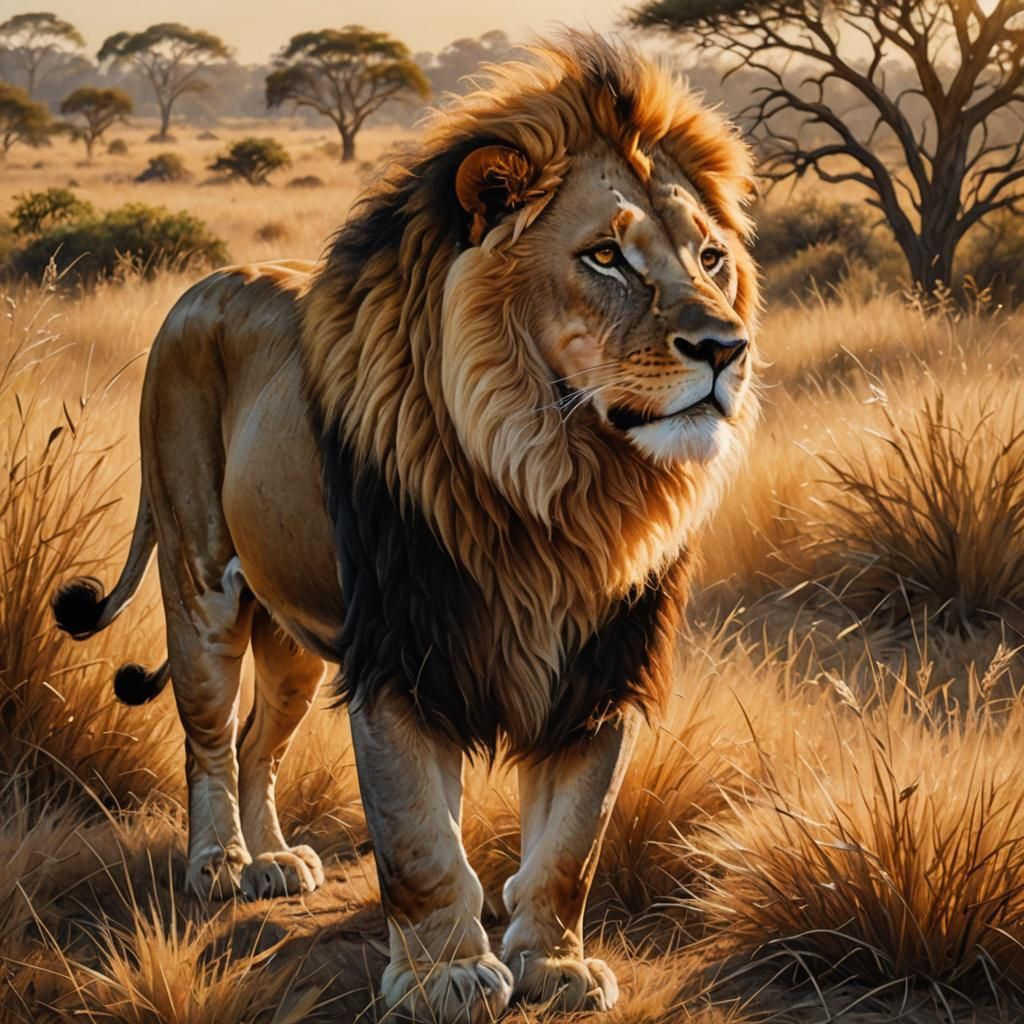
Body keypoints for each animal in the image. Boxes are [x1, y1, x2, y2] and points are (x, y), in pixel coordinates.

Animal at [52, 33, 760, 1022]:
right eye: (605, 258)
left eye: (711, 257)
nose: (727, 349)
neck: (560, 486)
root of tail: (200, 284)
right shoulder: (402, 654)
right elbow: (420, 837)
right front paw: (446, 975)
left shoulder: (602, 667)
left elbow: (573, 842)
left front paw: (556, 965)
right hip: (201, 586)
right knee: (208, 737)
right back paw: (220, 863)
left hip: (295, 638)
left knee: (257, 742)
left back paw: (274, 862)